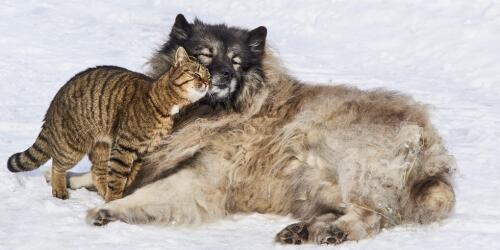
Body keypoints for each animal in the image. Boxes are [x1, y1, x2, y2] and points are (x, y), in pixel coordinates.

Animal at [7, 47, 211, 202]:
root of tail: (53, 103)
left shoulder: (142, 152)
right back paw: (59, 190)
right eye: (195, 73)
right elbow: (118, 178)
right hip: (73, 146)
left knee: (97, 171)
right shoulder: (124, 148)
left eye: (209, 77)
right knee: (57, 165)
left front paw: (117, 197)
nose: (208, 83)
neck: (166, 104)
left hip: (102, 147)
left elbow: (127, 177)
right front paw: (114, 200)